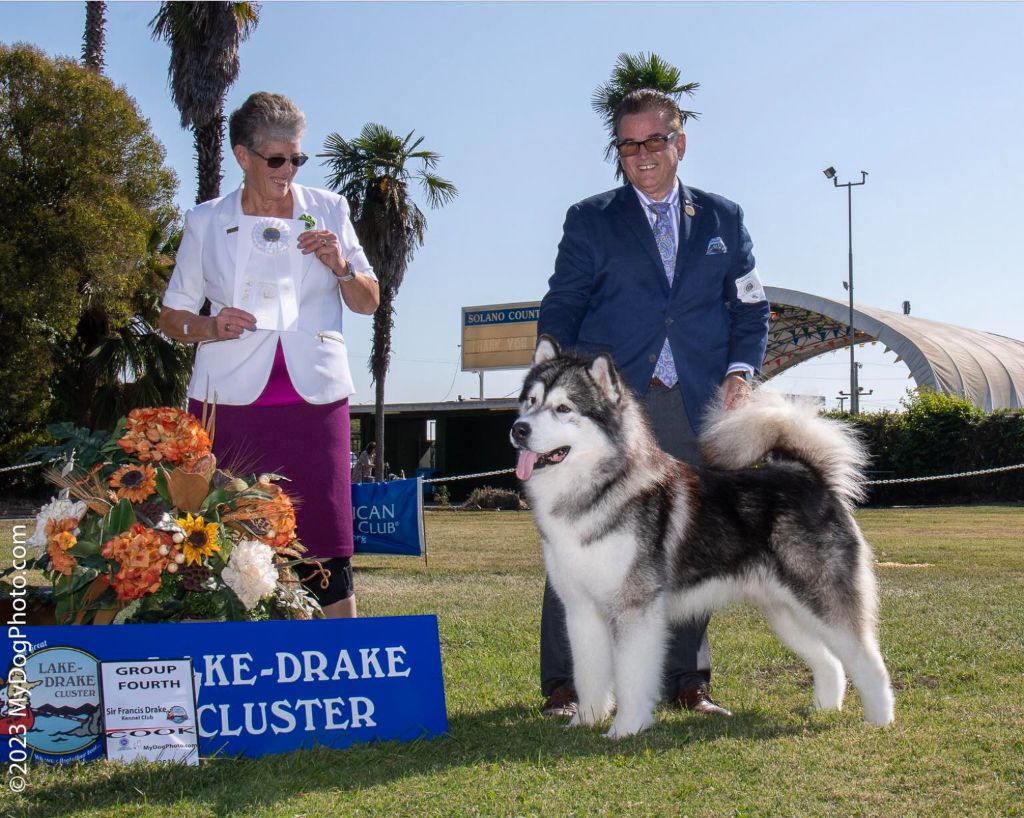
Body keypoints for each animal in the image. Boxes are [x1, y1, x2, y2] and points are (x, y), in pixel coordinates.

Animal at [516, 335, 892, 737]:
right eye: (531, 401)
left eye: (563, 408)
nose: (519, 429)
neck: (596, 488)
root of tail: (810, 477)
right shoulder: (582, 610)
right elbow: (589, 673)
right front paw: (585, 718)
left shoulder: (635, 608)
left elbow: (631, 676)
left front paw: (626, 728)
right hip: (786, 611)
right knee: (830, 660)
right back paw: (824, 707)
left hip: (822, 598)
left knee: (868, 659)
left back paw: (881, 720)